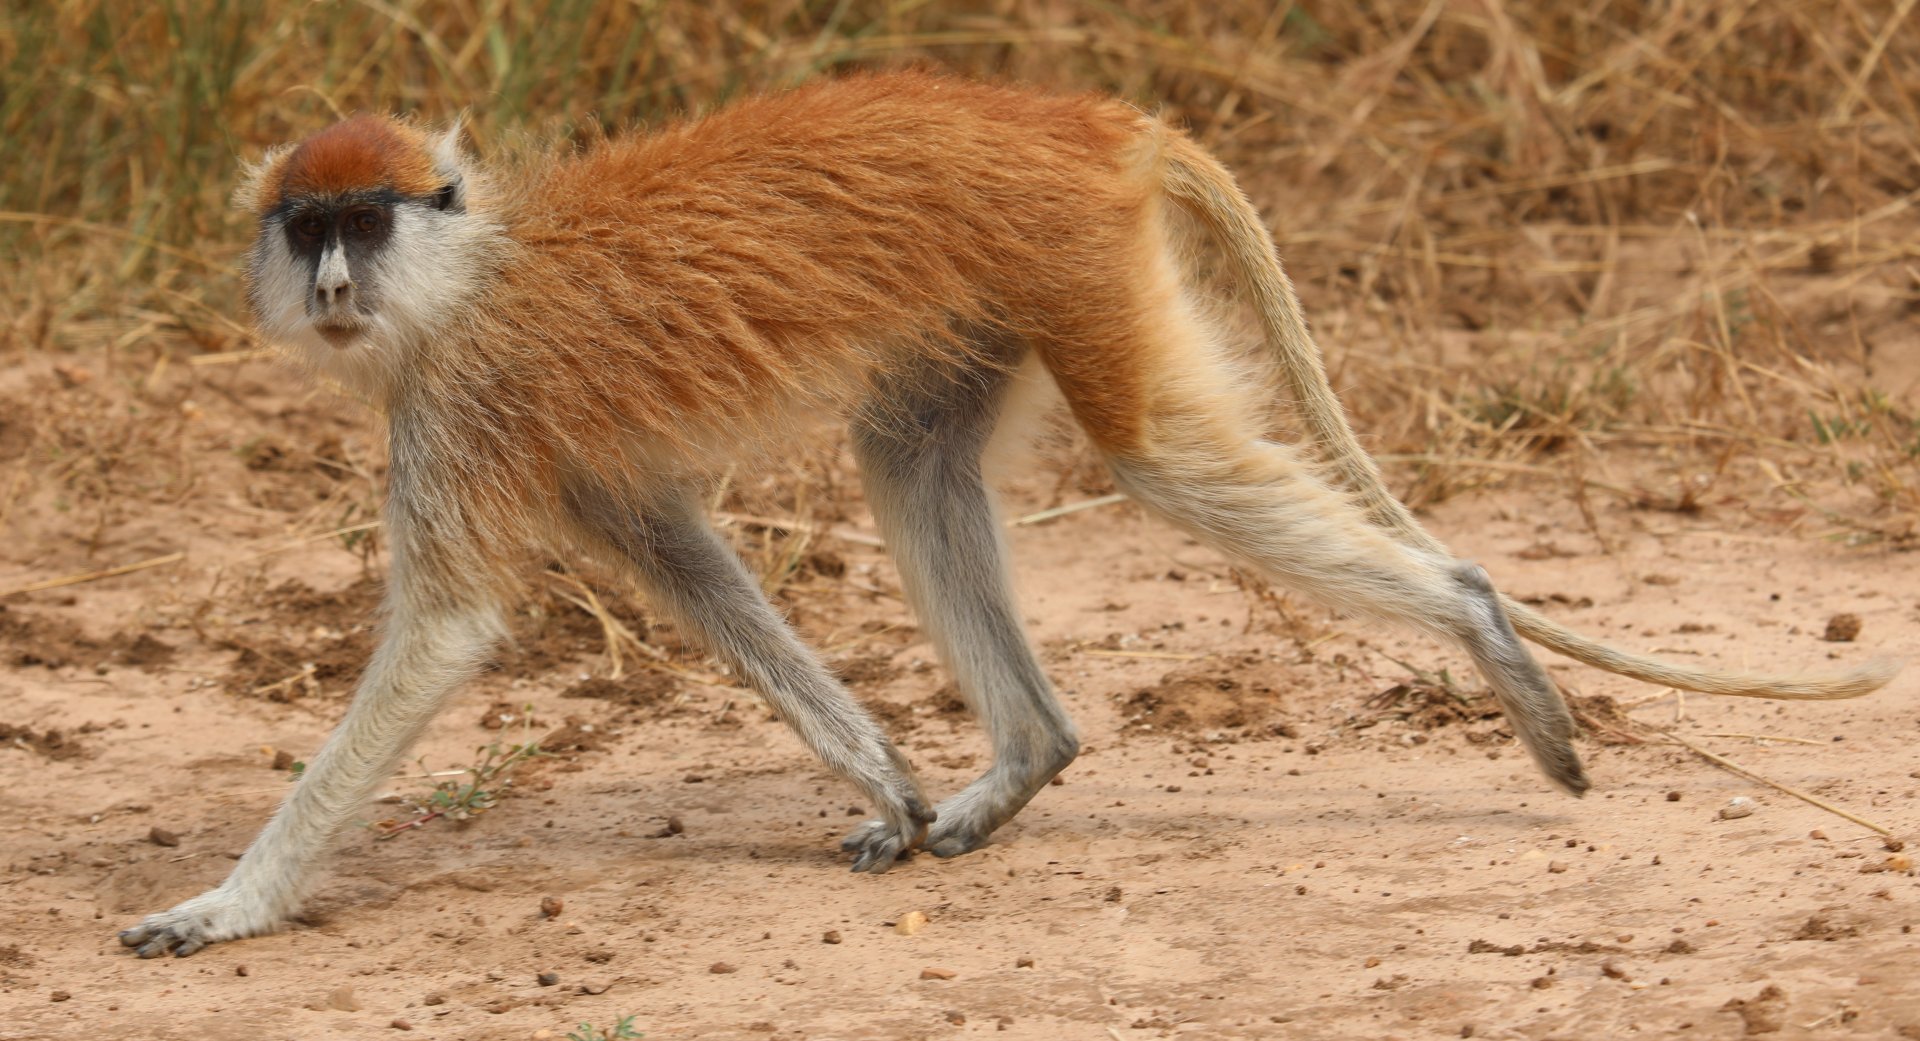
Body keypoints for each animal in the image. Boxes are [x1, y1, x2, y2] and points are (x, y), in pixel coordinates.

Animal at [120, 72, 1899, 957]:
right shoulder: (532, 434)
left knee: (1160, 456)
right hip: (993, 292)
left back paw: (1478, 621)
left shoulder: (465, 406)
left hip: (1076, 259)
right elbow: (680, 554)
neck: (466, 269)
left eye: (362, 221)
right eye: (305, 225)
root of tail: (1084, 122)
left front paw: (226, 904)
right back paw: (1018, 761)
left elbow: (443, 637)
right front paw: (889, 782)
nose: (330, 284)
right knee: (908, 457)